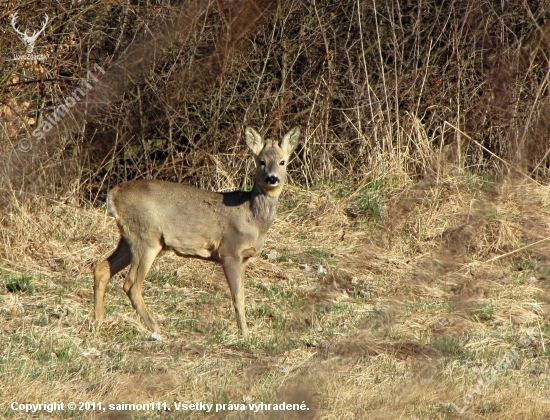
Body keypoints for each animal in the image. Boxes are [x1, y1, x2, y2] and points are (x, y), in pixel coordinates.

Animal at [95, 125, 302, 342]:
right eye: (261, 161)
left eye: (282, 161)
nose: (272, 178)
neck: (252, 219)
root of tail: (113, 195)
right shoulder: (230, 251)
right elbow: (237, 297)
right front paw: (245, 334)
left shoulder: (245, 258)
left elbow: (242, 295)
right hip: (146, 237)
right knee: (131, 285)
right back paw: (157, 329)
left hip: (129, 238)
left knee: (101, 269)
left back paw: (98, 322)